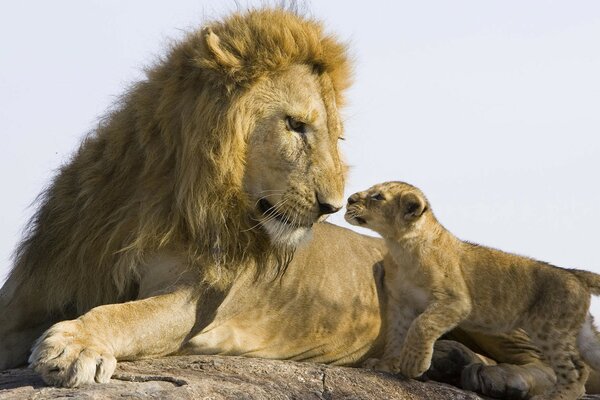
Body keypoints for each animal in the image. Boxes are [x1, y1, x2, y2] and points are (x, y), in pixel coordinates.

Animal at [0, 7, 592, 398]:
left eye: (336, 136)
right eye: (294, 125)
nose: (333, 205)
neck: (161, 196)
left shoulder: (194, 300)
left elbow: (126, 313)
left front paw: (74, 344)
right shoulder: (34, 290)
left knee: (558, 365)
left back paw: (500, 376)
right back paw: (443, 362)